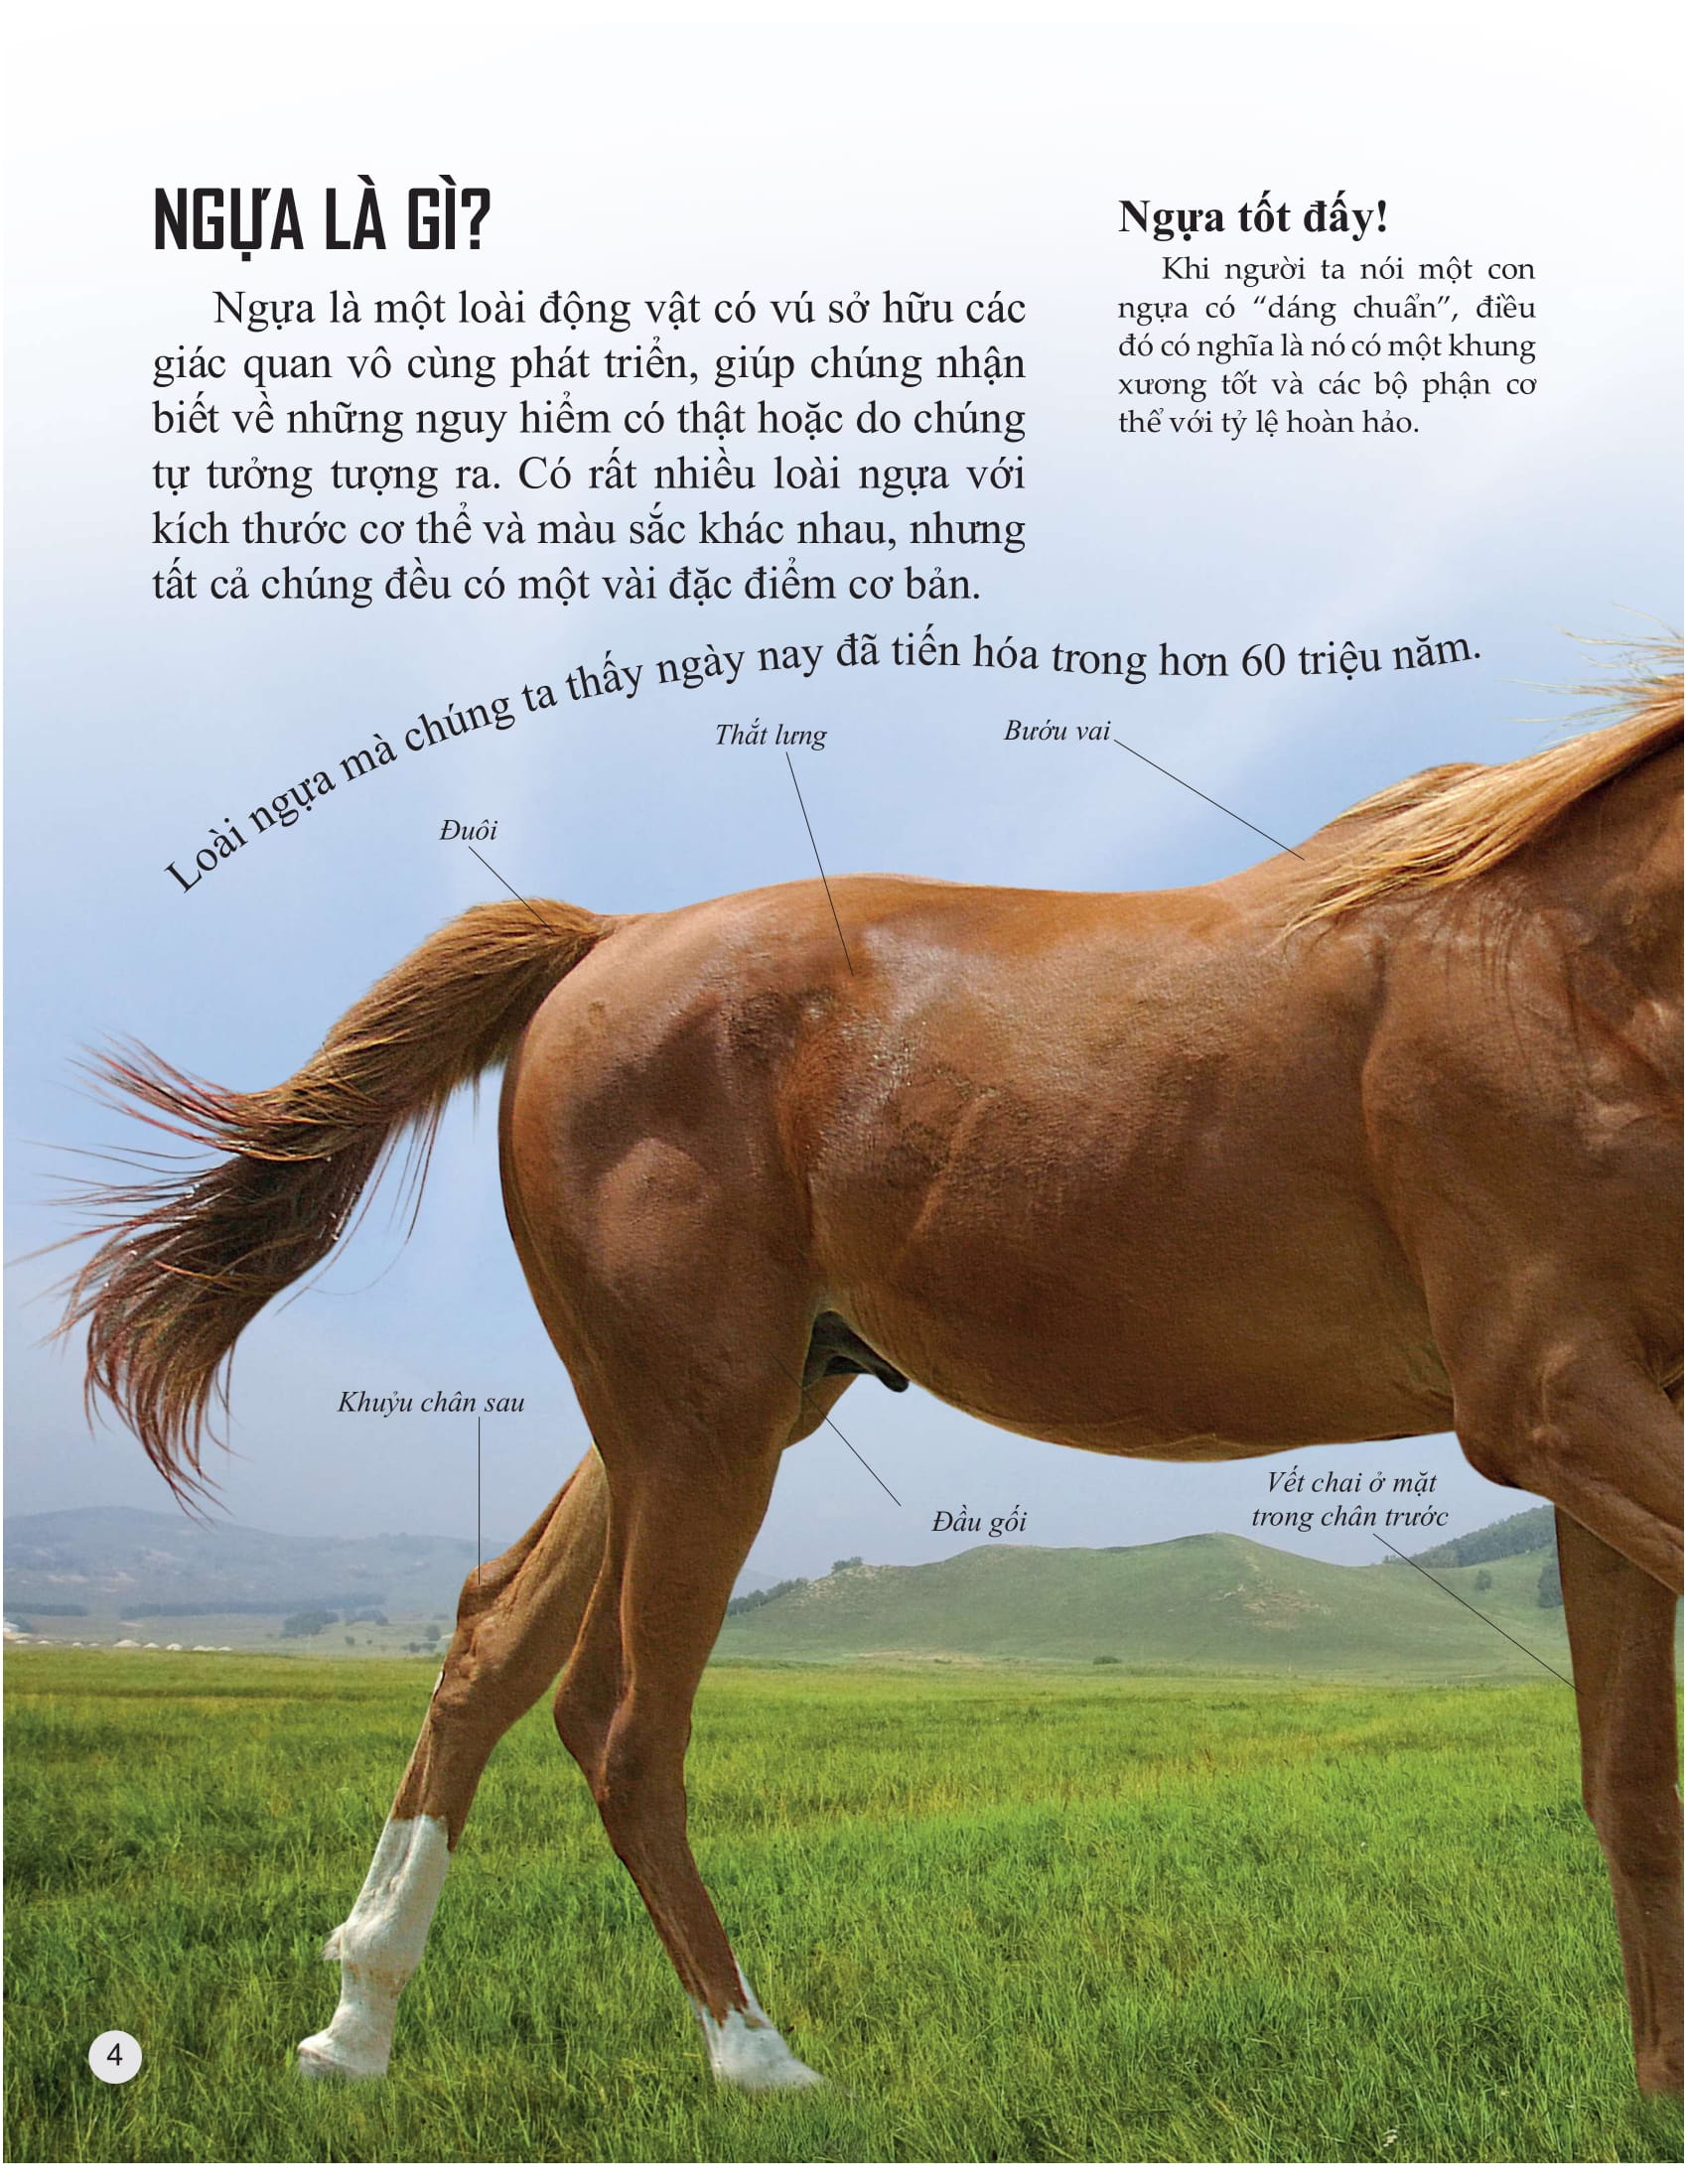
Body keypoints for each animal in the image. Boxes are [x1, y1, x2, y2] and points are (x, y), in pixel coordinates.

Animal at [62, 665, 1683, 2098]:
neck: (1582, 968)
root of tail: (606, 940)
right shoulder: (1547, 1400)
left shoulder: (1598, 1432)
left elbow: (1628, 1782)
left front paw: (1655, 2091)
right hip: (705, 1431)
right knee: (621, 1722)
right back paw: (753, 2056)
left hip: (714, 1407)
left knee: (490, 1642)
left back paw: (357, 2023)